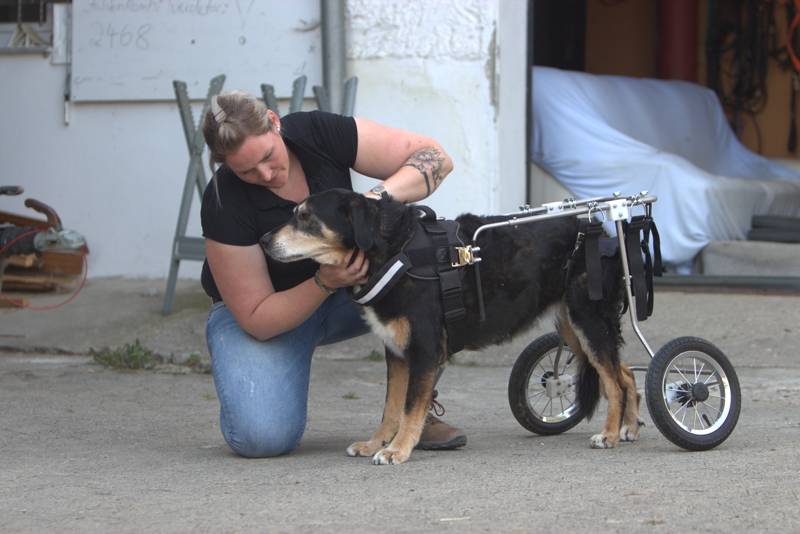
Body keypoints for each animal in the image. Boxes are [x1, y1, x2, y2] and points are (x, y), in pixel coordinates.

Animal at [262, 188, 644, 464]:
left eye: (306, 217)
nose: (264, 240)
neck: (396, 251)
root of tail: (598, 228)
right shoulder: (396, 351)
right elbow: (390, 409)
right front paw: (375, 443)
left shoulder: (425, 349)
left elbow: (409, 408)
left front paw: (398, 449)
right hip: (573, 328)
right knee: (625, 373)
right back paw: (629, 428)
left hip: (588, 320)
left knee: (613, 382)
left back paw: (610, 435)